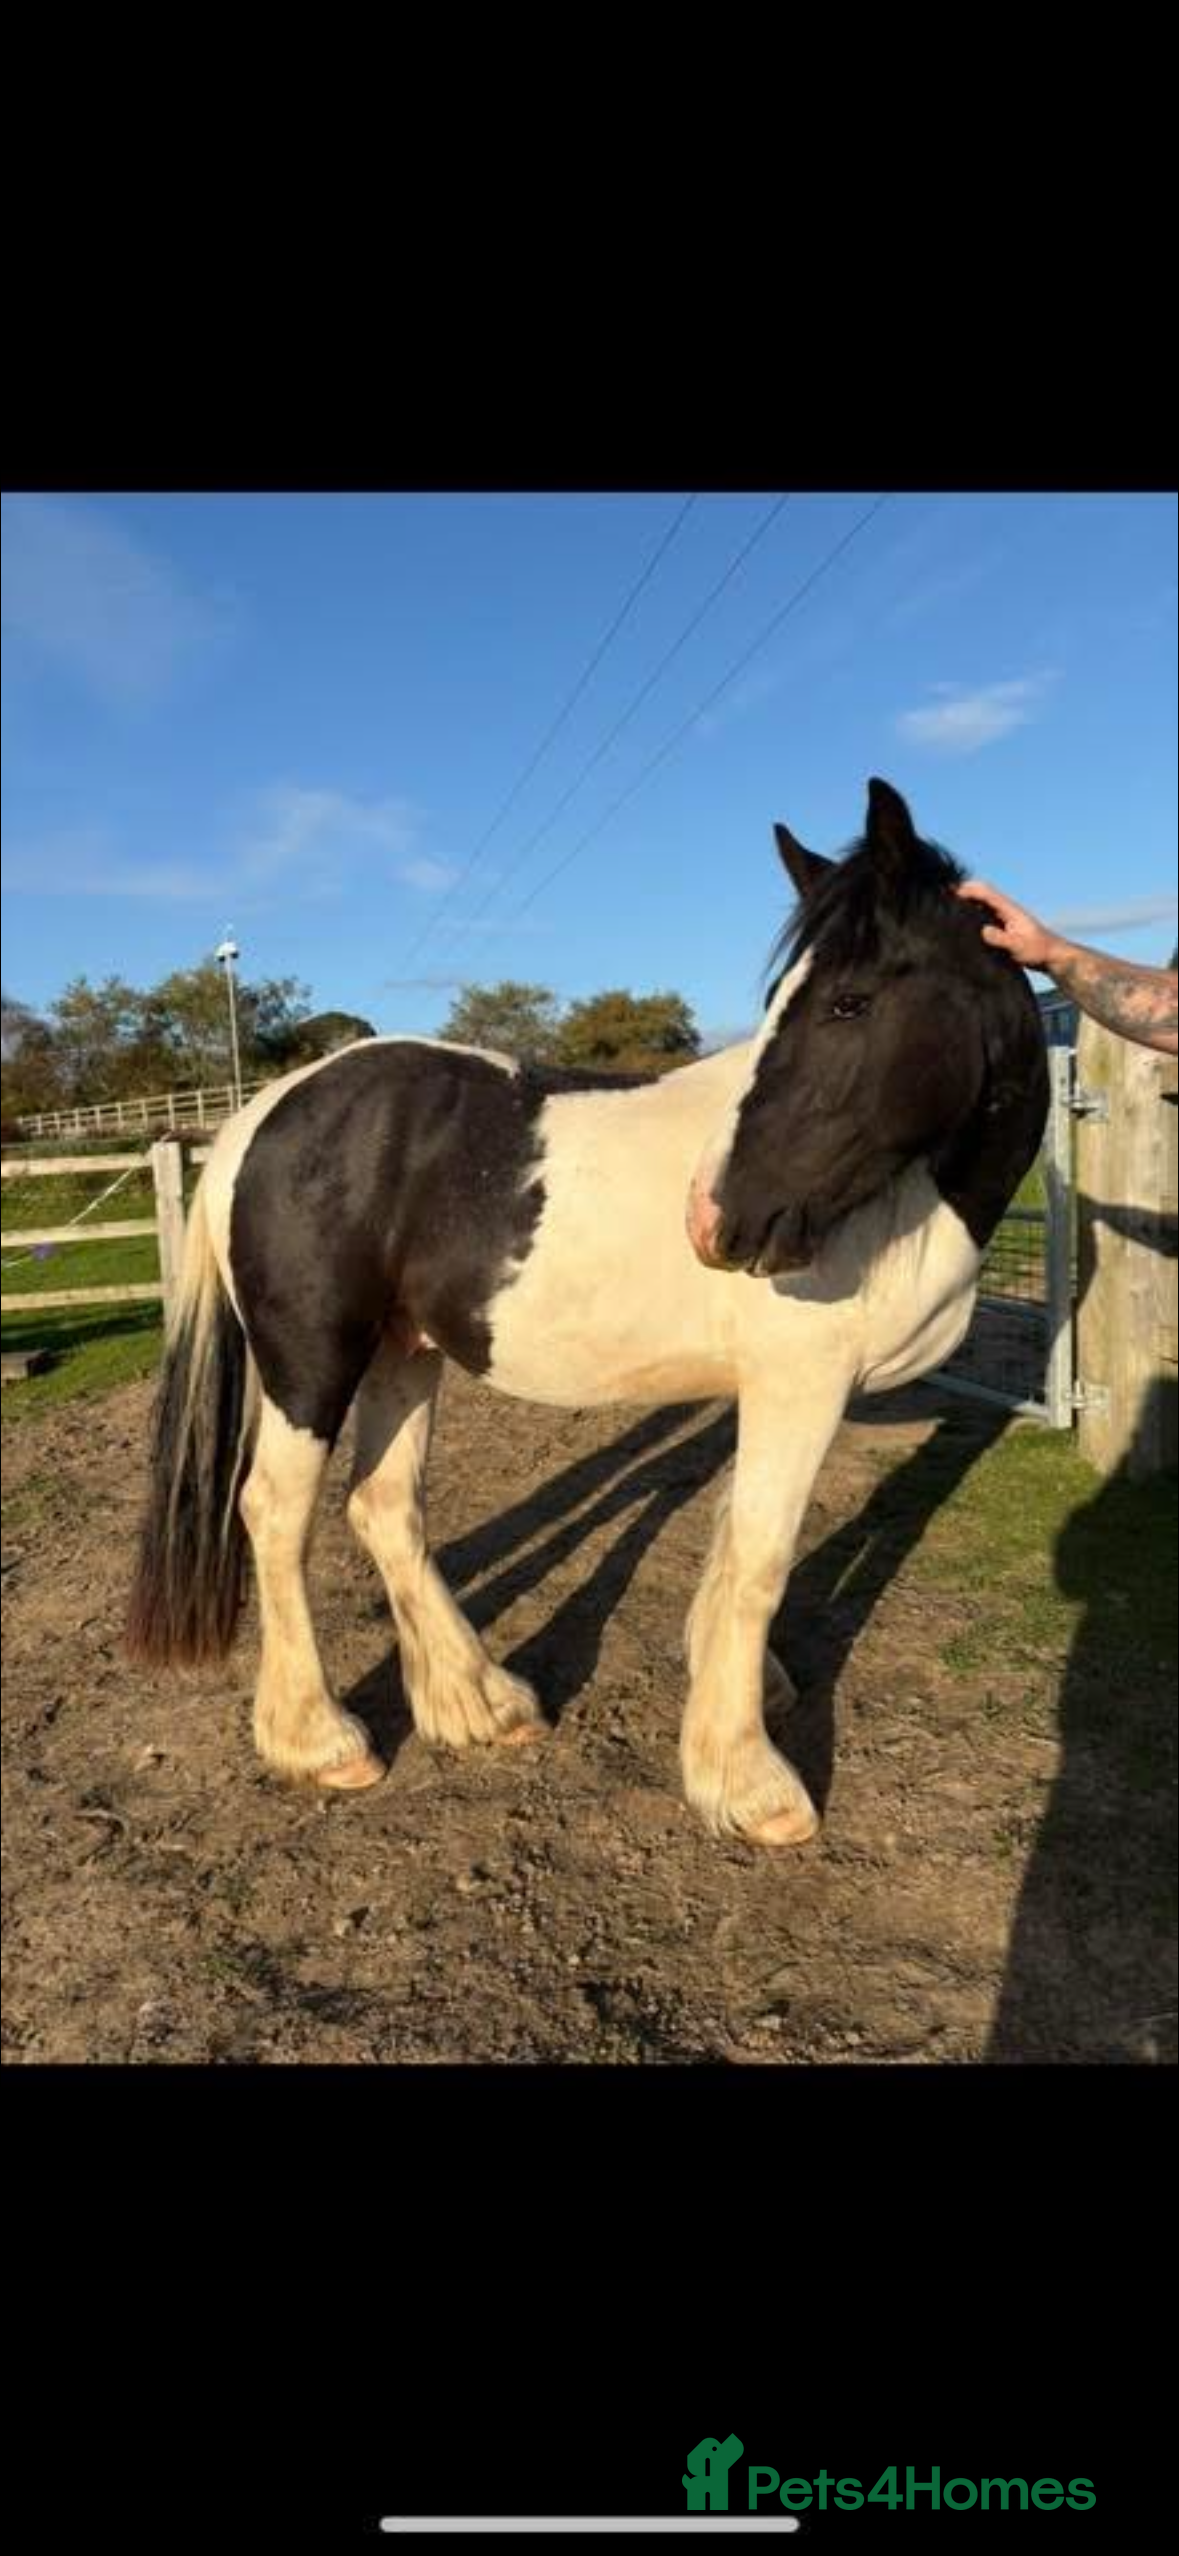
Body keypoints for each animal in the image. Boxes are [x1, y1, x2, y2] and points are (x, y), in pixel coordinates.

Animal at [126, 778, 1048, 1849]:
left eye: (849, 1001)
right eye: (800, 1001)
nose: (715, 1218)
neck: (903, 1202)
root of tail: (261, 1112)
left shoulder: (763, 1389)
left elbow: (730, 1540)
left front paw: (742, 1700)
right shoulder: (800, 1383)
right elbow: (763, 1556)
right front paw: (749, 1781)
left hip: (405, 1351)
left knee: (384, 1507)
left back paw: (481, 1704)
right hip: (311, 1362)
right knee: (275, 1511)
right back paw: (322, 1741)